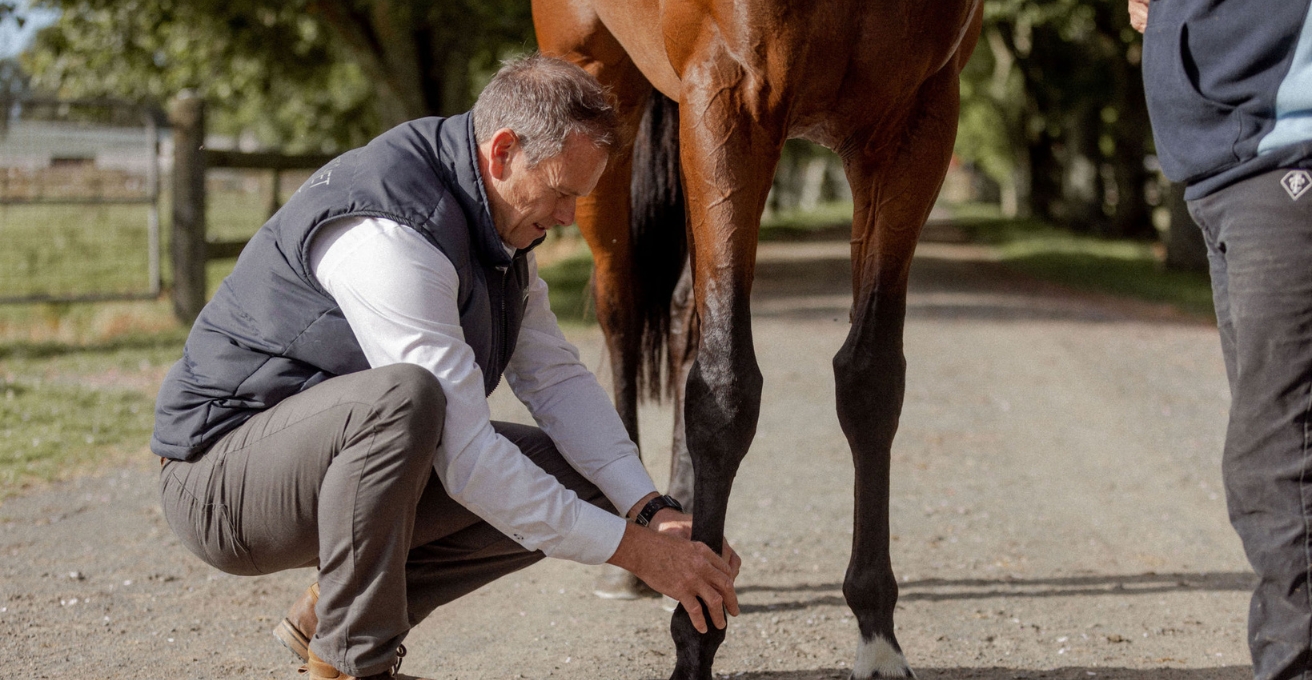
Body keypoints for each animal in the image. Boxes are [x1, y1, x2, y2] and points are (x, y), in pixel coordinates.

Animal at [533, 1, 983, 678]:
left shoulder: (915, 124)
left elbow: (871, 380)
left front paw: (877, 639)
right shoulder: (731, 100)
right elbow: (726, 390)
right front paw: (695, 640)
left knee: (685, 318)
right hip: (596, 92)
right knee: (621, 310)